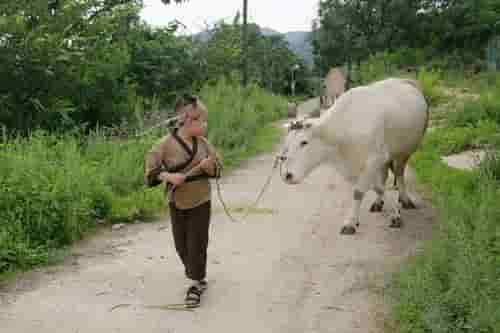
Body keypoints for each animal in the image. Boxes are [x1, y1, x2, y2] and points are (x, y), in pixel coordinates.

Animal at [280, 77, 428, 233]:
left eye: (304, 142)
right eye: (286, 143)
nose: (287, 175)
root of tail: (404, 80)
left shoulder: (373, 159)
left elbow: (359, 192)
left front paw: (351, 223)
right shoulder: (356, 165)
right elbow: (376, 188)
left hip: (403, 152)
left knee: (399, 174)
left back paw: (405, 200)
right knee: (384, 175)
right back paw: (378, 203)